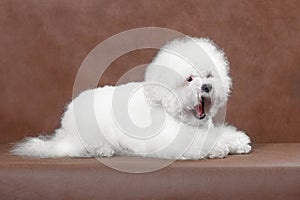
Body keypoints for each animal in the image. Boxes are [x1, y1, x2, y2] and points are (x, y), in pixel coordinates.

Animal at [11, 36, 251, 159]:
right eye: (189, 79)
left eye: (209, 75)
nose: (207, 87)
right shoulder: (173, 142)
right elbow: (202, 143)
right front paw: (219, 148)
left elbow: (223, 133)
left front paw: (237, 142)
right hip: (90, 131)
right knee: (85, 145)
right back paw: (104, 150)